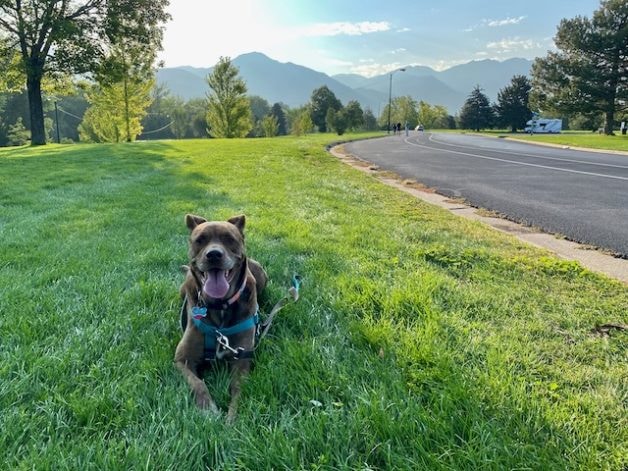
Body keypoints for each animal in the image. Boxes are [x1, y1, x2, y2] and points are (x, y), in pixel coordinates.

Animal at [174, 214, 268, 420]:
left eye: (229, 239)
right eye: (200, 240)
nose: (214, 255)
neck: (220, 305)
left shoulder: (242, 359)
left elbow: (238, 388)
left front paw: (233, 416)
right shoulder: (182, 359)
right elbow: (198, 384)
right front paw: (208, 410)